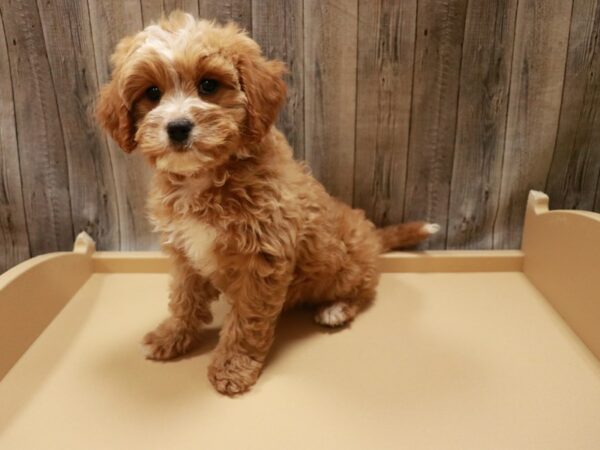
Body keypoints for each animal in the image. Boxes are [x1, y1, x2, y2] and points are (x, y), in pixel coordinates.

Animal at [97, 11, 436, 398]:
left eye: (209, 85)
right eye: (152, 93)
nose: (178, 127)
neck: (207, 177)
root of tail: (372, 235)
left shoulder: (262, 259)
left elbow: (247, 320)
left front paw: (232, 366)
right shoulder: (185, 253)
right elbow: (184, 299)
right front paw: (171, 336)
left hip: (348, 267)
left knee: (364, 289)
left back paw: (336, 309)